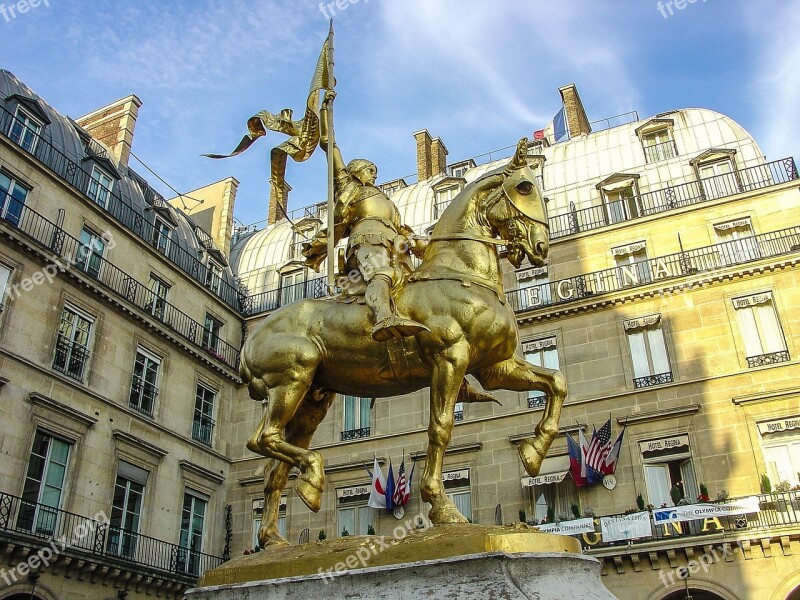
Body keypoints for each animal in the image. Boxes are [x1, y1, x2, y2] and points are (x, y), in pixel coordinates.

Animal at [244, 141, 568, 548]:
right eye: (524, 187)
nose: (541, 246)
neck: (459, 273)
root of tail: (252, 337)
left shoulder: (496, 368)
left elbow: (557, 383)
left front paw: (534, 453)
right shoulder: (451, 358)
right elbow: (440, 428)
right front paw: (443, 508)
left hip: (312, 400)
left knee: (274, 469)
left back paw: (273, 536)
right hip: (292, 379)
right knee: (262, 439)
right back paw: (313, 478)